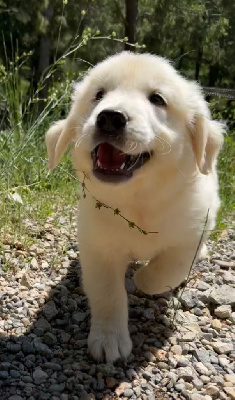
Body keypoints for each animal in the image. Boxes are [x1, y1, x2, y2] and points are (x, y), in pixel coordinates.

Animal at [45, 52, 224, 362]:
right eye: (99, 95)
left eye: (157, 99)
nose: (109, 117)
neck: (137, 200)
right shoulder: (98, 245)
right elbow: (107, 293)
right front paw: (109, 339)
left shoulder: (192, 231)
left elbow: (166, 270)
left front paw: (142, 279)